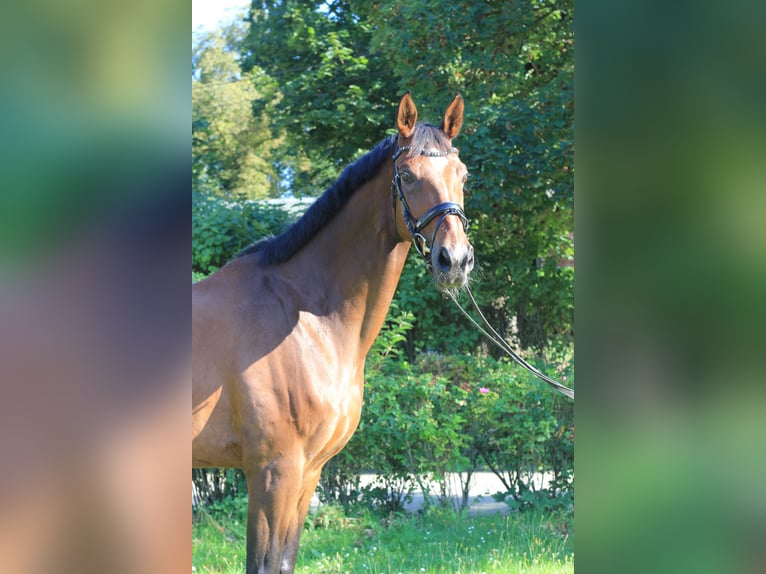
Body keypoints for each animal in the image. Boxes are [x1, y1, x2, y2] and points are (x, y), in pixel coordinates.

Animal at [194, 92, 474, 572]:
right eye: (407, 175)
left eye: (462, 175)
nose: (453, 260)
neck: (304, 317)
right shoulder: (273, 472)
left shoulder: (309, 472)